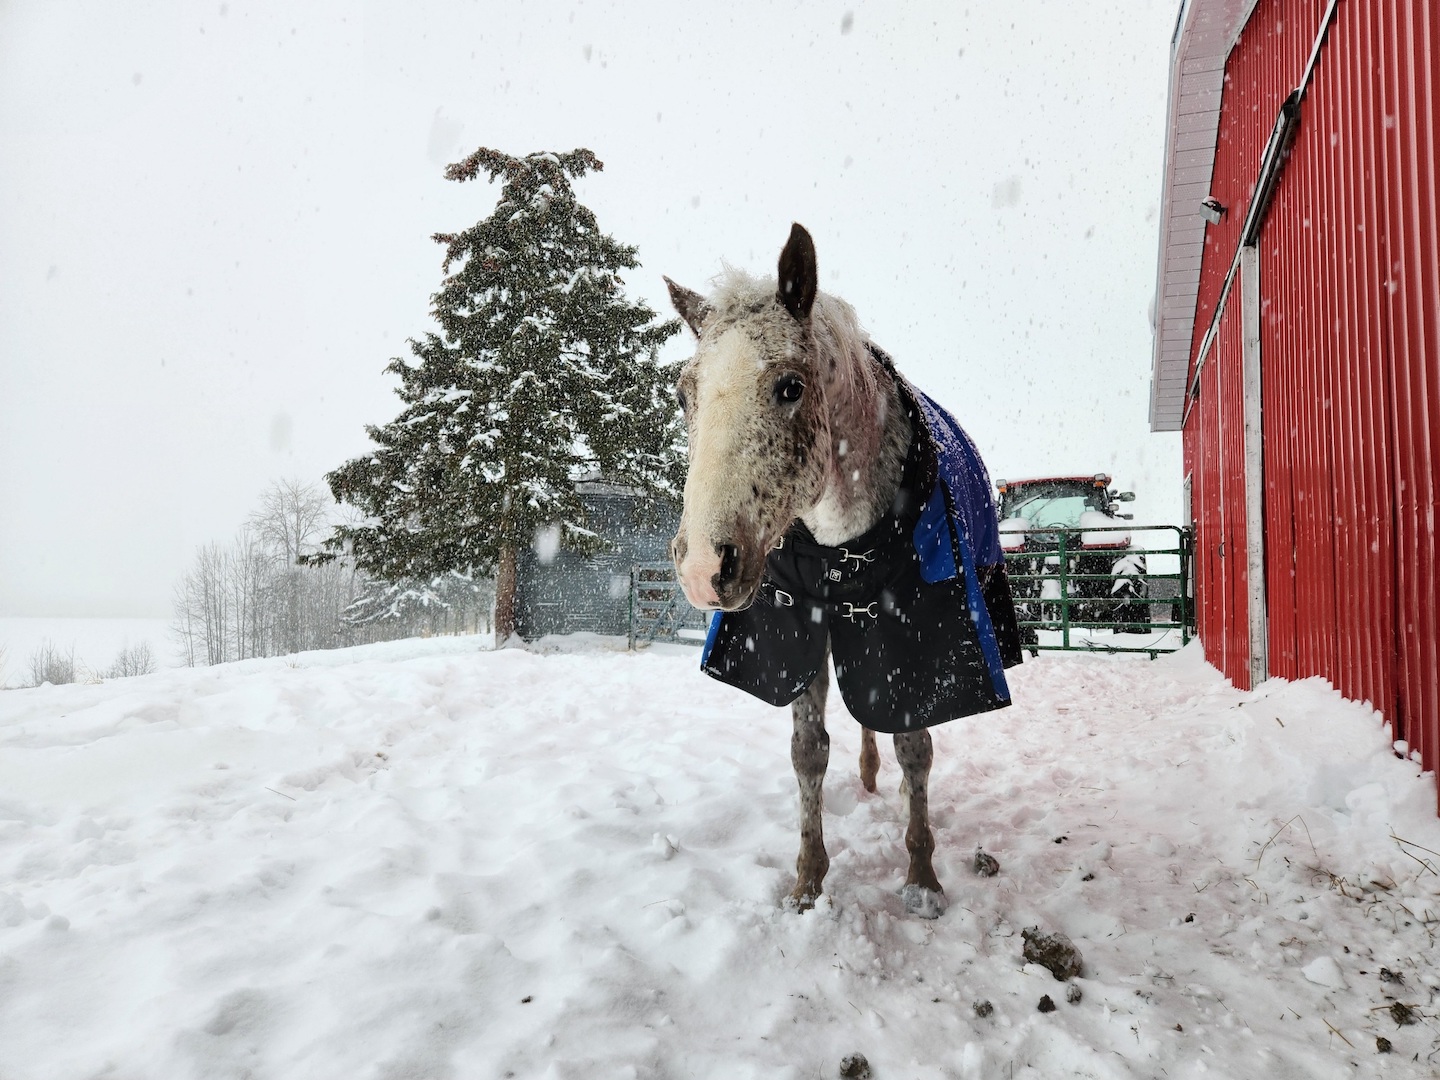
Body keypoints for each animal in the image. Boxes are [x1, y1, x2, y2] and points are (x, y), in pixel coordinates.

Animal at [665, 224, 1025, 915]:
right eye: (684, 394)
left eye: (790, 386)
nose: (703, 568)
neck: (839, 540)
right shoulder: (801, 629)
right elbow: (809, 753)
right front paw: (807, 883)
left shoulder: (912, 639)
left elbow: (915, 746)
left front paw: (922, 881)